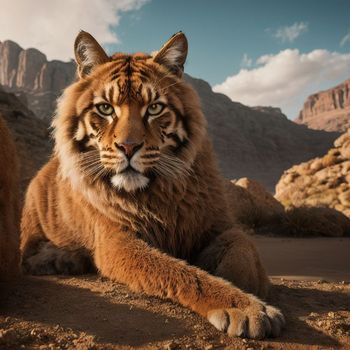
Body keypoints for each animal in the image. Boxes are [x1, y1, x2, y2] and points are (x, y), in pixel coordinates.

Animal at [20, 30, 284, 340]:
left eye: (155, 108)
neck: (159, 192)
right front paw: (244, 307)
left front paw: (246, 291)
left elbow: (241, 251)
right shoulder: (117, 241)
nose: (128, 147)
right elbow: (181, 274)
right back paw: (58, 259)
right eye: (105, 108)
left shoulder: (218, 224)